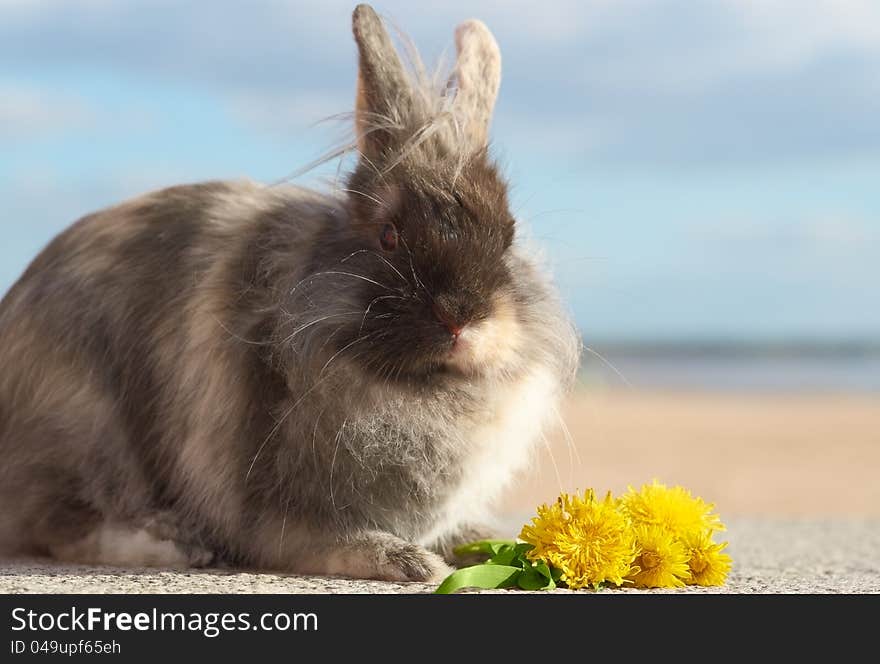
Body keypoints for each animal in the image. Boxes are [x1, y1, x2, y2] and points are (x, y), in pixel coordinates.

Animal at [0, 2, 584, 580]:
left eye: (507, 235)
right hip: (85, 431)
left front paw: (499, 543)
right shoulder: (279, 511)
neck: (426, 390)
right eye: (388, 235)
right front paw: (410, 562)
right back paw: (174, 544)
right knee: (61, 523)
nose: (462, 317)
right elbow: (328, 542)